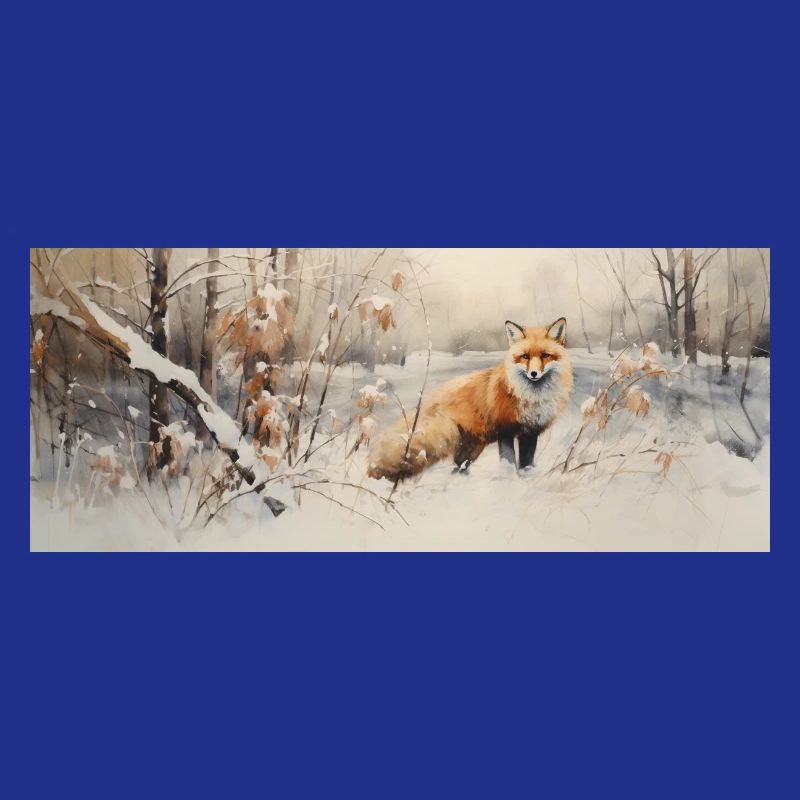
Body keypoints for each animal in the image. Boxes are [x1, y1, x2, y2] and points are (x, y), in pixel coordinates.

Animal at [367, 317, 573, 481]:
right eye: (525, 356)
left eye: (545, 356)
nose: (533, 374)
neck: (531, 398)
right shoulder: (505, 430)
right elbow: (508, 462)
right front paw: (508, 480)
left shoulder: (530, 432)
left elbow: (527, 463)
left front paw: (526, 477)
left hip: (471, 448)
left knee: (458, 466)